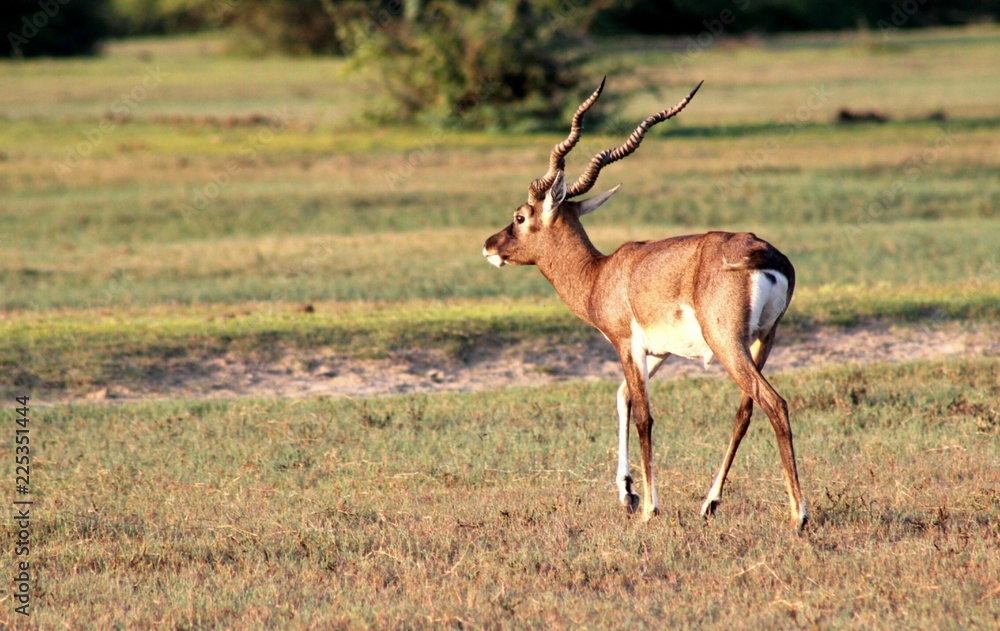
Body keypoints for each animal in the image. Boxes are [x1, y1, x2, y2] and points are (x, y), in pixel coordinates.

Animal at [480, 80, 808, 532]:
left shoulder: (626, 345)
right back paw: (710, 503)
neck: (600, 274)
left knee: (774, 403)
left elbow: (643, 416)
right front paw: (628, 493)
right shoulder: (659, 352)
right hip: (764, 340)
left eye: (520, 216)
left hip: (728, 345)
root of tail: (765, 253)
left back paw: (799, 515)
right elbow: (623, 397)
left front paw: (650, 507)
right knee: (745, 410)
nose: (489, 246)